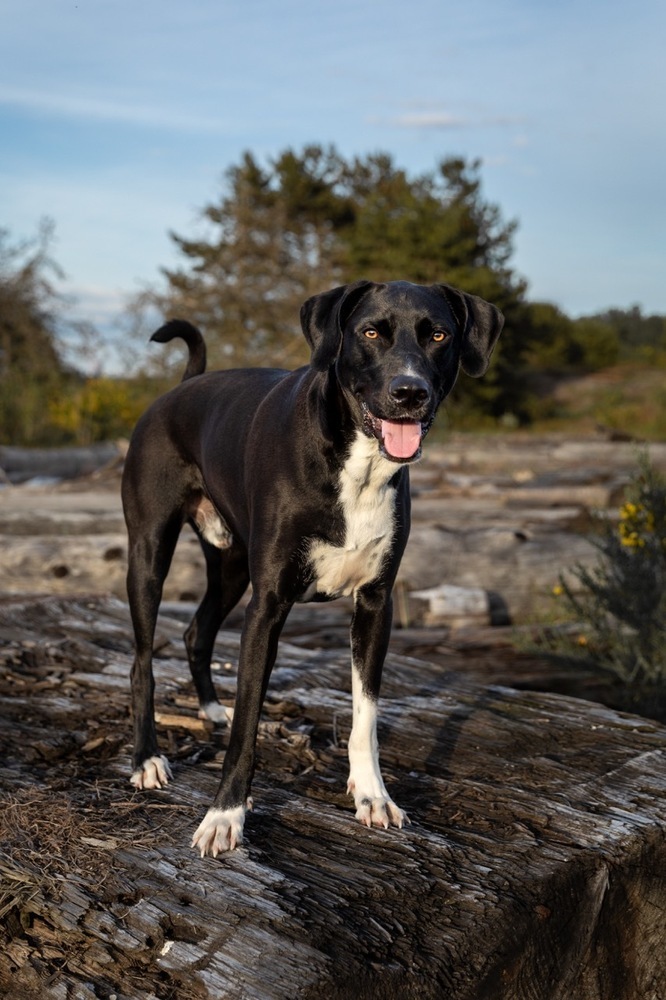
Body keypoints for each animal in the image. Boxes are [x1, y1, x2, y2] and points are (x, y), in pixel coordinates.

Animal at [122, 282, 500, 860]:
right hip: (149, 553)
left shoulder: (375, 605)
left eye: (439, 335)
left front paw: (372, 795)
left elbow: (366, 713)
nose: (409, 392)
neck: (358, 465)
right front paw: (225, 815)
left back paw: (211, 710)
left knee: (196, 631)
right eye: (371, 332)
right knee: (143, 659)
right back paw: (147, 758)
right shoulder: (268, 606)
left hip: (231, 566)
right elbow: (249, 723)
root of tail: (181, 388)